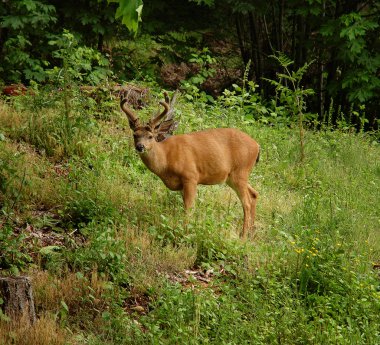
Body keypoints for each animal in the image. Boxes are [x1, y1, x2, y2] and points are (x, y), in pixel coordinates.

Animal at [120, 91, 260, 239]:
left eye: (150, 136)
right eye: (135, 135)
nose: (140, 147)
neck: (166, 160)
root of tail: (257, 146)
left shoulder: (191, 177)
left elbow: (189, 208)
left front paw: (186, 232)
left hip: (240, 171)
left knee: (246, 203)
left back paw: (243, 236)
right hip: (234, 176)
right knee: (254, 194)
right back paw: (251, 233)